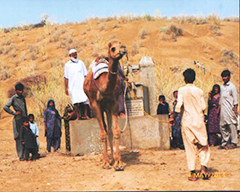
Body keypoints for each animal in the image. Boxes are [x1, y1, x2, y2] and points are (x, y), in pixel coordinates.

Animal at [83, 41, 127, 170]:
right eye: (113, 48)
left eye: (122, 45)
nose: (123, 50)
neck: (103, 86)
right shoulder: (95, 104)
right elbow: (102, 134)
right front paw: (106, 163)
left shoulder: (114, 103)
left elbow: (116, 131)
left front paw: (118, 162)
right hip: (100, 107)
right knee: (104, 130)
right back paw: (106, 159)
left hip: (107, 108)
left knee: (109, 131)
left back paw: (112, 158)